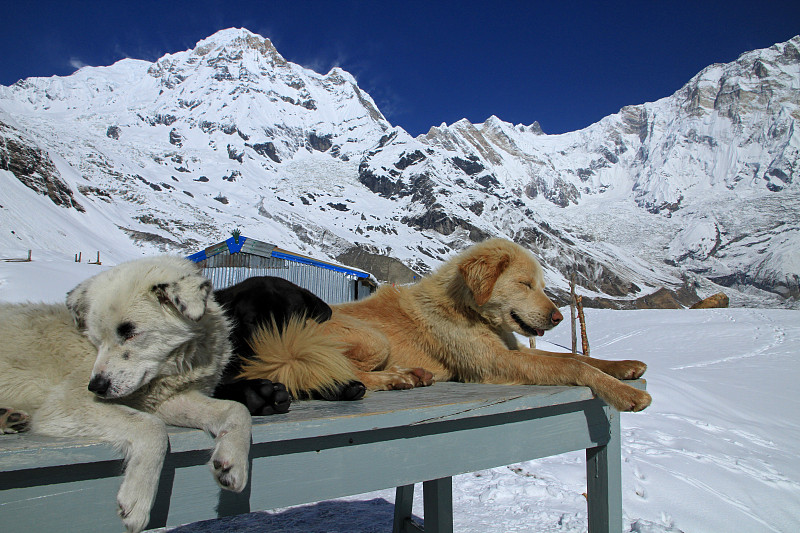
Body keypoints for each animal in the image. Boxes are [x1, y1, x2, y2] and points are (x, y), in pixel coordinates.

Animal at [0, 256, 252, 528]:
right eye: (96, 339)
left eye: (130, 332)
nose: (96, 387)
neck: (171, 368)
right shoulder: (67, 403)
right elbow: (152, 427)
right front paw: (137, 500)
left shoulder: (169, 400)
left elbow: (238, 409)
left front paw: (232, 463)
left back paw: (9, 417)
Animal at [242, 238, 648, 412]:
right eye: (524, 284)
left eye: (541, 286)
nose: (558, 317)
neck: (469, 309)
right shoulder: (498, 363)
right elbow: (575, 365)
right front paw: (627, 394)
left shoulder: (513, 350)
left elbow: (583, 359)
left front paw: (625, 366)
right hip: (369, 339)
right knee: (335, 372)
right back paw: (400, 378)